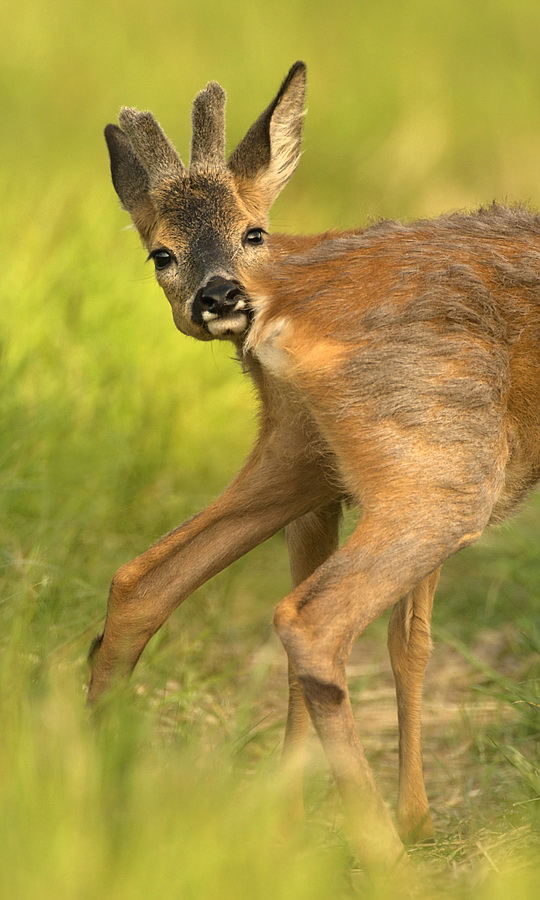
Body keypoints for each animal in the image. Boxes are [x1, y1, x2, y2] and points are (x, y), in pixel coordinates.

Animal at [88, 59, 540, 868]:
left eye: (252, 230)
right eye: (160, 252)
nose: (219, 296)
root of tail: (279, 306)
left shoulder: (325, 491)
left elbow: (407, 639)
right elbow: (412, 638)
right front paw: (412, 822)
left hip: (302, 454)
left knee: (141, 579)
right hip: (443, 467)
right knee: (313, 620)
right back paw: (388, 855)